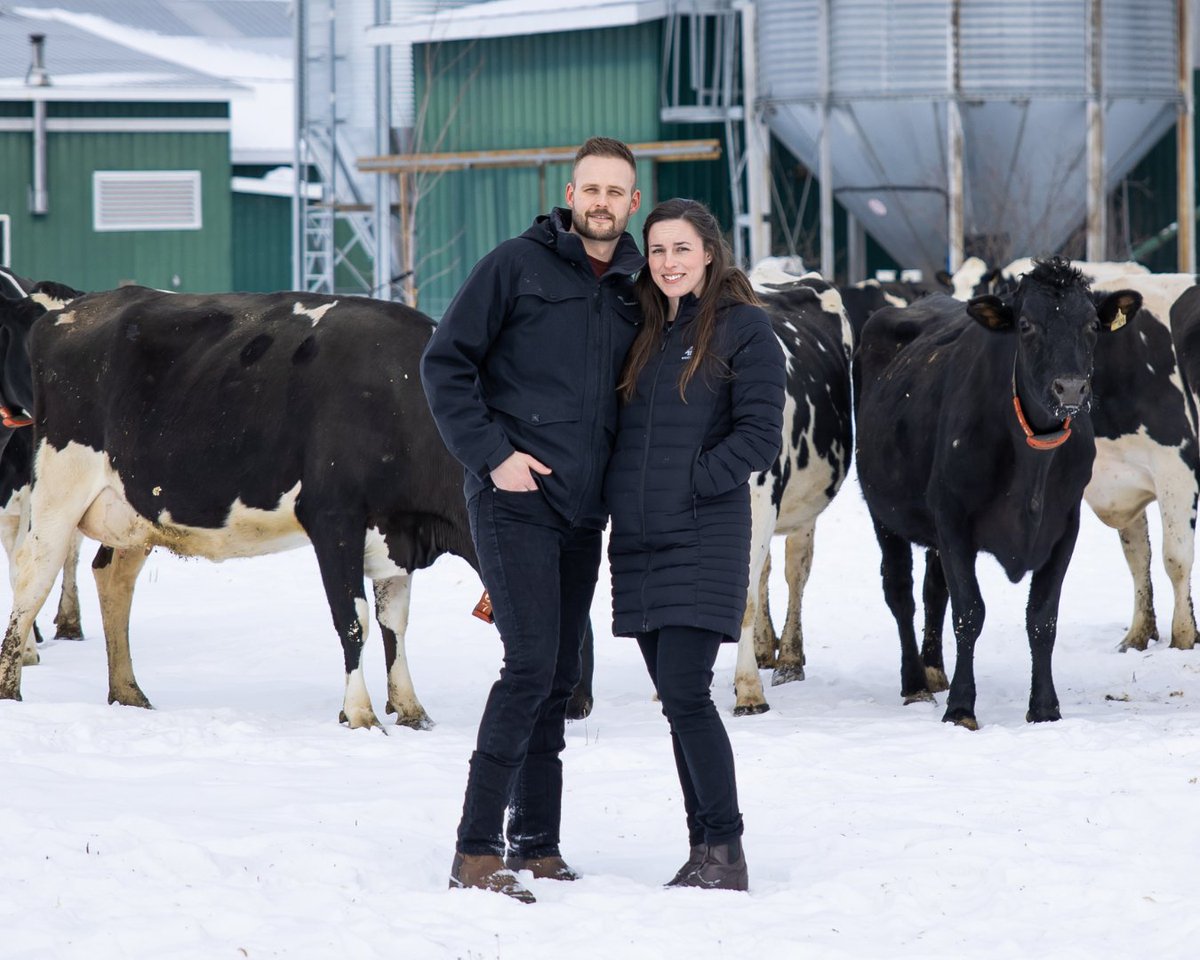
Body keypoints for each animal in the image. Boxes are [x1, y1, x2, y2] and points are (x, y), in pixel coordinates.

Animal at [0, 285, 480, 729]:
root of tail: (73, 308)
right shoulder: (334, 519)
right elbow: (354, 619)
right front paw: (360, 714)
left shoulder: (397, 529)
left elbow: (394, 621)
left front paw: (412, 709)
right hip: (60, 487)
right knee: (31, 575)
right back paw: (12, 688)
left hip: (134, 511)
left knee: (113, 577)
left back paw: (128, 692)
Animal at [729, 266, 854, 715]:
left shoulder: (760, 498)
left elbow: (745, 598)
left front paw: (749, 691)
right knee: (767, 572)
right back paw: (765, 649)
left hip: (802, 508)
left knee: (794, 571)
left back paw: (789, 660)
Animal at [854, 259, 1142, 724]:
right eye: (1026, 325)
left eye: (1091, 326)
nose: (1070, 389)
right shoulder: (953, 518)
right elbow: (969, 612)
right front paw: (960, 708)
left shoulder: (1065, 525)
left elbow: (1042, 618)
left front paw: (1044, 707)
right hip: (883, 511)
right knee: (900, 591)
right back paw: (915, 682)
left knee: (933, 591)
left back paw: (935, 670)